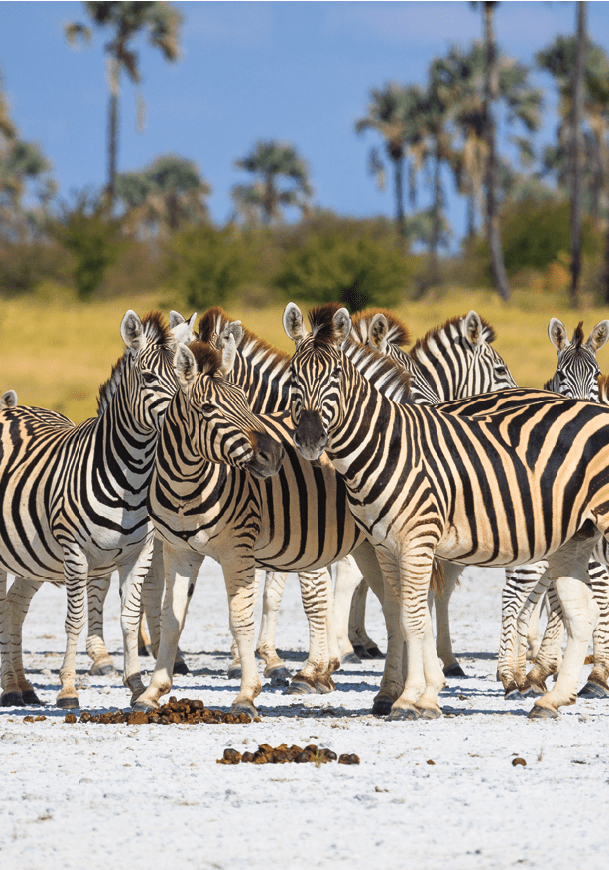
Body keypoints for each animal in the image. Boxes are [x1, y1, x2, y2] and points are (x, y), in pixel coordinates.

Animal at [0, 312, 197, 705]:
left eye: (185, 373)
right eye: (148, 378)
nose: (182, 424)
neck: (132, 476)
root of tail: (12, 409)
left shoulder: (138, 553)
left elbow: (129, 617)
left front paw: (136, 686)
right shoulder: (75, 551)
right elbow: (74, 620)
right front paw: (68, 689)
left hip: (31, 556)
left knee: (15, 605)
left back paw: (20, 687)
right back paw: (11, 687)